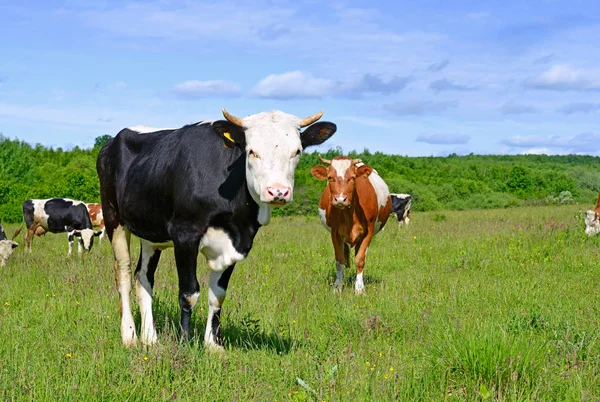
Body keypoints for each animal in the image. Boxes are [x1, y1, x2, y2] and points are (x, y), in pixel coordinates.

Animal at [96, 108, 336, 348]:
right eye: (251, 151)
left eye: (297, 151)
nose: (278, 192)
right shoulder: (185, 234)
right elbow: (189, 293)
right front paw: (184, 342)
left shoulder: (237, 242)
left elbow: (218, 295)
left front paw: (213, 344)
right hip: (113, 218)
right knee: (124, 273)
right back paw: (129, 335)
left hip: (150, 232)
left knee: (143, 276)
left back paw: (149, 337)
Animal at [312, 155, 392, 294]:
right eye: (330, 177)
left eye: (353, 177)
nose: (340, 199)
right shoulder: (335, 233)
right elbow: (340, 261)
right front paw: (337, 287)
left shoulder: (368, 233)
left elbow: (360, 260)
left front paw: (359, 288)